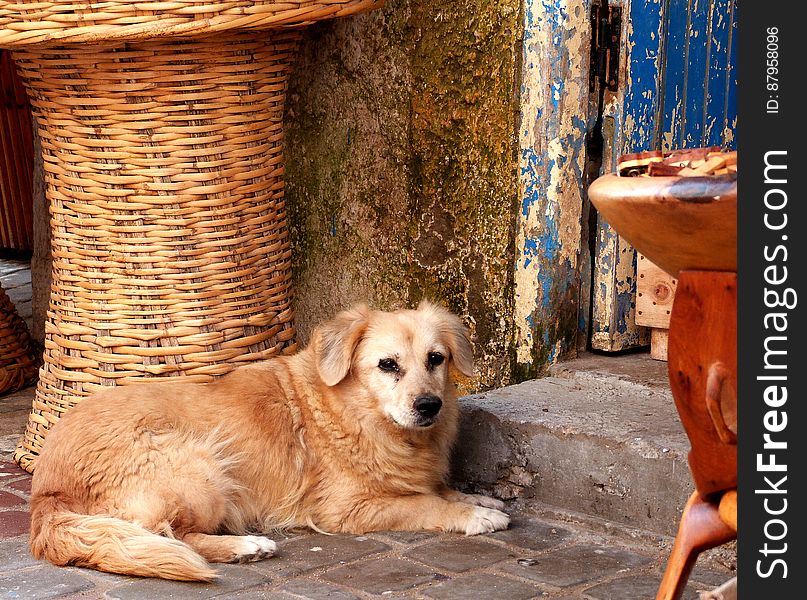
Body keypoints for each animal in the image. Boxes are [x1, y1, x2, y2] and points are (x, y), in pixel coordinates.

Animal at [34, 302, 512, 580]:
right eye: (388, 365)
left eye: (436, 359)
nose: (430, 405)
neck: (358, 414)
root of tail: (44, 491)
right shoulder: (347, 510)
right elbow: (424, 504)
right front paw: (473, 515)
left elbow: (439, 490)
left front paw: (477, 498)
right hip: (201, 464)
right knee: (174, 535)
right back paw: (245, 546)